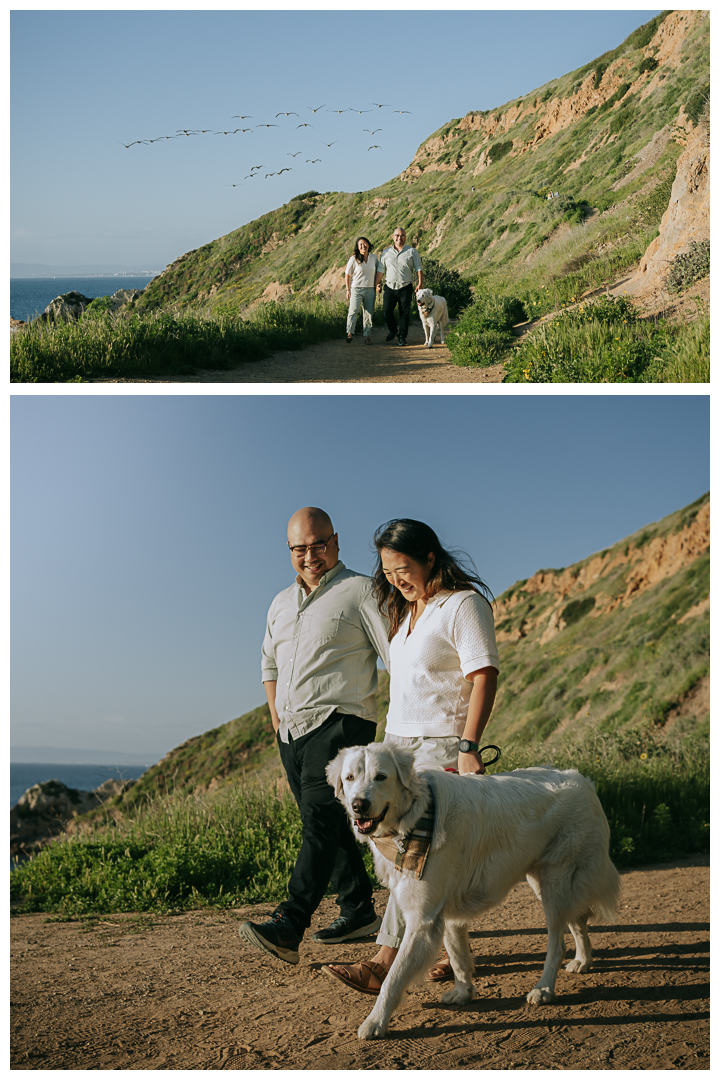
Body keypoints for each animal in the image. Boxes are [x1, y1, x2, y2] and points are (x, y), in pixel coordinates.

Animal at [325, 743, 621, 1036]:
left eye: (381, 777)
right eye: (349, 778)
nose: (359, 805)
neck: (415, 819)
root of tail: (581, 780)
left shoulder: (422, 920)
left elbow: (394, 977)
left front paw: (375, 1022)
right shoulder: (445, 914)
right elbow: (457, 957)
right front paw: (463, 993)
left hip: (554, 883)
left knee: (557, 943)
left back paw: (544, 989)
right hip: (550, 885)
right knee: (578, 921)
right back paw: (582, 961)